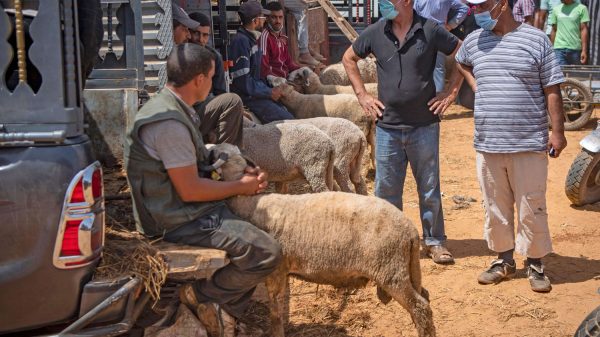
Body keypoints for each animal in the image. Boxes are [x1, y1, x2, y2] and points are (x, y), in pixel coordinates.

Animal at [211, 142, 436, 336]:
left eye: (225, 156)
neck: (250, 204)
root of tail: (410, 230)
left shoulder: (276, 271)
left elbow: (275, 310)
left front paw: (276, 332)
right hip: (404, 269)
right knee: (424, 296)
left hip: (390, 270)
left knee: (420, 307)